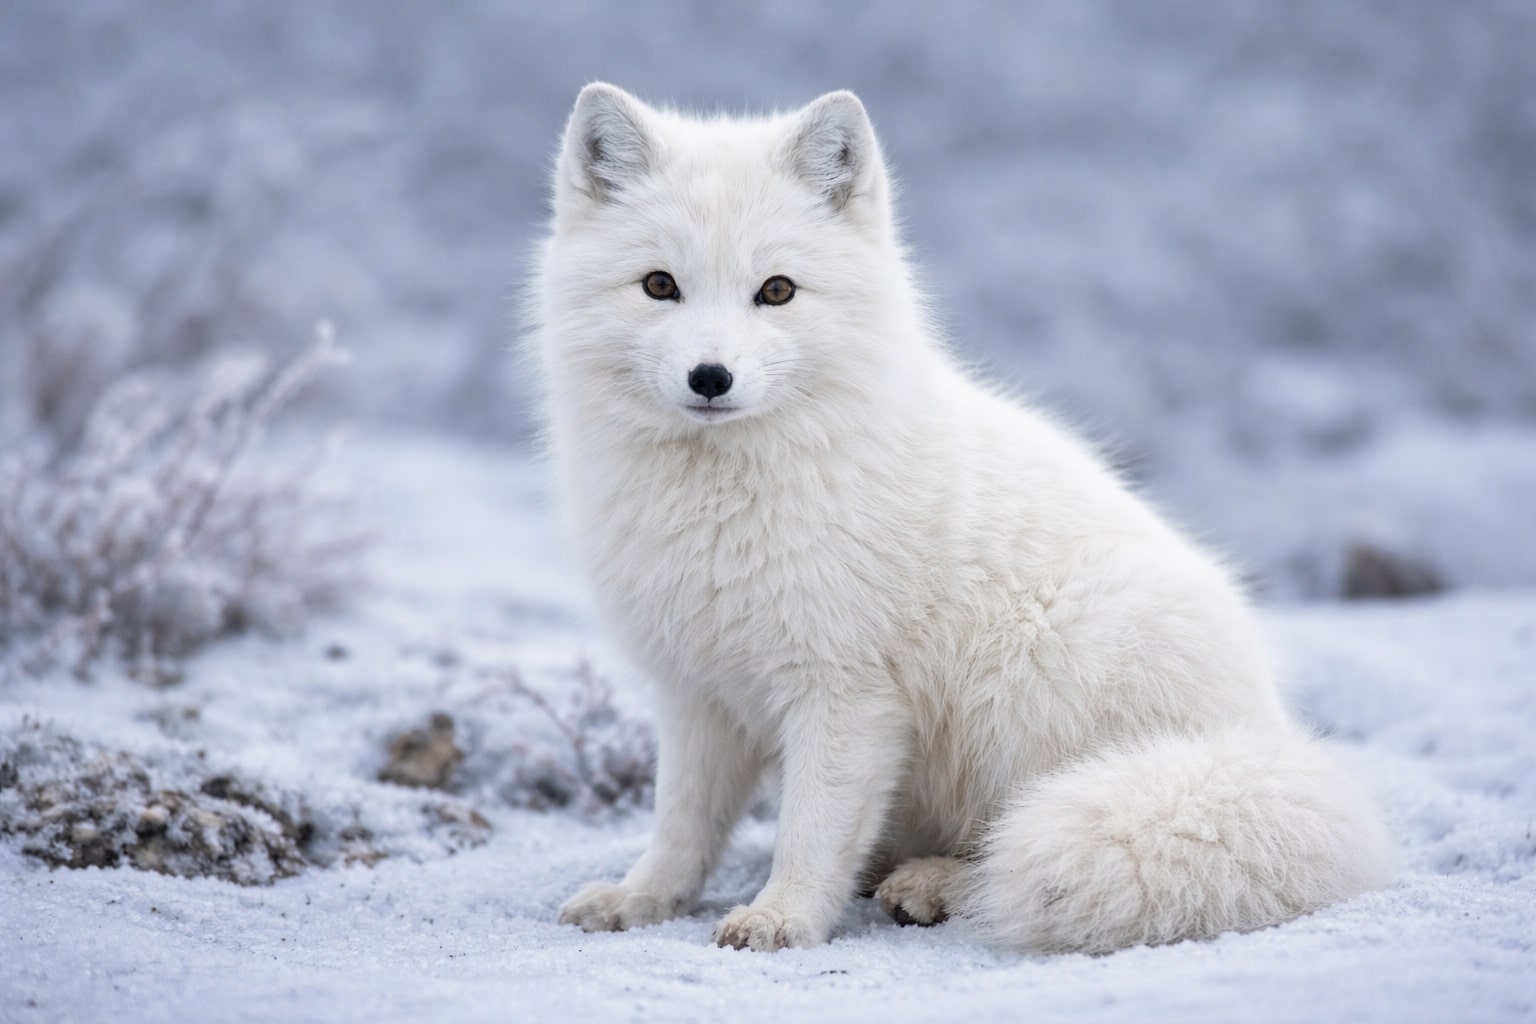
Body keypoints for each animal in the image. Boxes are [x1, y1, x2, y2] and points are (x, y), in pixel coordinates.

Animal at [532, 83, 1389, 954]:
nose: (711, 377)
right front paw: (642, 898)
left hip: (1034, 676)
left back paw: (934, 884)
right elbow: (681, 825)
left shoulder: (846, 692)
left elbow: (810, 829)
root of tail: (1269, 736)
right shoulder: (697, 691)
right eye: (659, 285)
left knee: (1013, 844)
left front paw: (782, 917)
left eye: (776, 291)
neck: (719, 506)